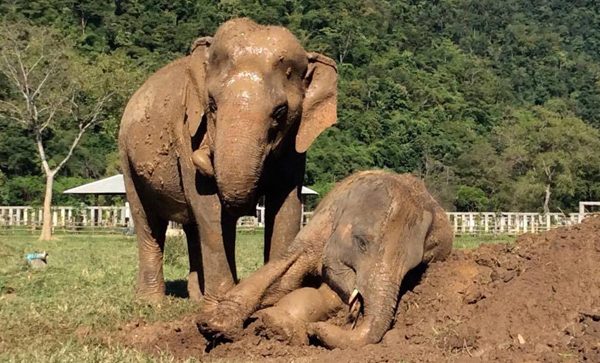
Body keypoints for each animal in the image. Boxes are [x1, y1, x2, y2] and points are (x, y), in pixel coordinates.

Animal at [199, 171, 452, 350]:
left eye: (413, 269)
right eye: (362, 243)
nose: (315, 330)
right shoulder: (325, 220)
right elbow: (286, 269)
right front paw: (214, 327)